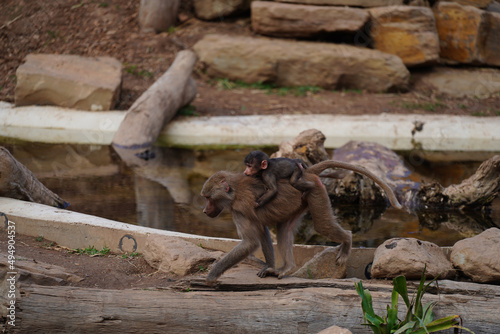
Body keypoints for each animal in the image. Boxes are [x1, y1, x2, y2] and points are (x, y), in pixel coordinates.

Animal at [200, 160, 402, 284]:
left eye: (208, 198)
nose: (204, 210)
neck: (233, 190)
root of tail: (307, 172)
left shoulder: (239, 209)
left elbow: (250, 243)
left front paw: (211, 276)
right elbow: (263, 232)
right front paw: (270, 267)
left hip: (315, 192)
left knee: (322, 225)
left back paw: (346, 242)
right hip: (299, 201)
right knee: (284, 230)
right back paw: (287, 268)